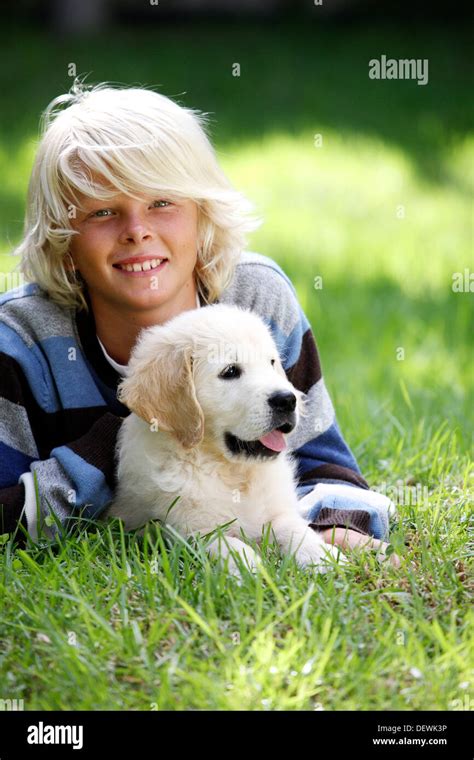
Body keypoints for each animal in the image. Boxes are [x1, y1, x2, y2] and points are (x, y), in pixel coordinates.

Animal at [107, 304, 344, 576]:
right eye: (230, 371)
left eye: (271, 362)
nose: (287, 400)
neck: (233, 472)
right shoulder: (189, 530)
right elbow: (227, 543)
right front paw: (251, 569)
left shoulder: (276, 510)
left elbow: (292, 527)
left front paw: (322, 555)